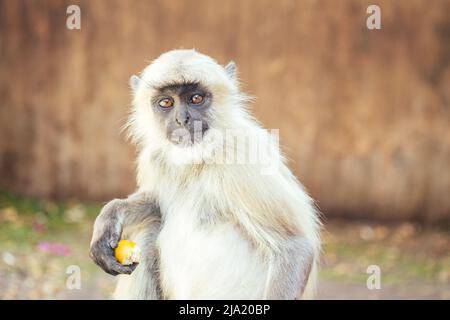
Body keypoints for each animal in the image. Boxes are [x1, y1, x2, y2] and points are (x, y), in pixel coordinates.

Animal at [89, 48, 320, 298]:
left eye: (196, 99)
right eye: (166, 102)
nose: (182, 120)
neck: (199, 158)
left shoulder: (242, 155)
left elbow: (294, 246)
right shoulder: (154, 158)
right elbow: (155, 203)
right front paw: (110, 215)